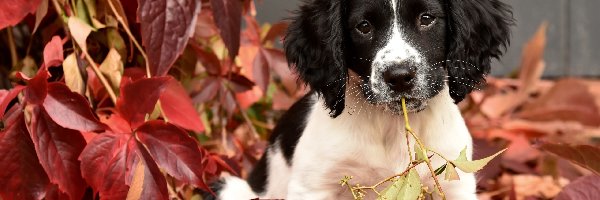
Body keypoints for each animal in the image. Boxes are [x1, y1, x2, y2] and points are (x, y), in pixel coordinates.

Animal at [211, 0, 510, 199]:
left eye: (427, 18)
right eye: (364, 26)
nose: (399, 76)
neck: (393, 125)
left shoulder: (453, 183)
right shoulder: (314, 186)